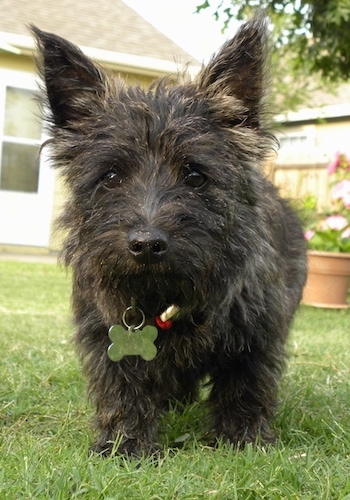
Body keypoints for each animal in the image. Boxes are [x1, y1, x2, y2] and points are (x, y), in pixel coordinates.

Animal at [32, 14, 306, 454]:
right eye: (111, 176)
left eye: (195, 175)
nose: (146, 244)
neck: (164, 298)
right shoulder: (105, 335)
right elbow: (122, 390)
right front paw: (124, 444)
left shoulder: (258, 332)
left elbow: (246, 384)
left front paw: (242, 439)